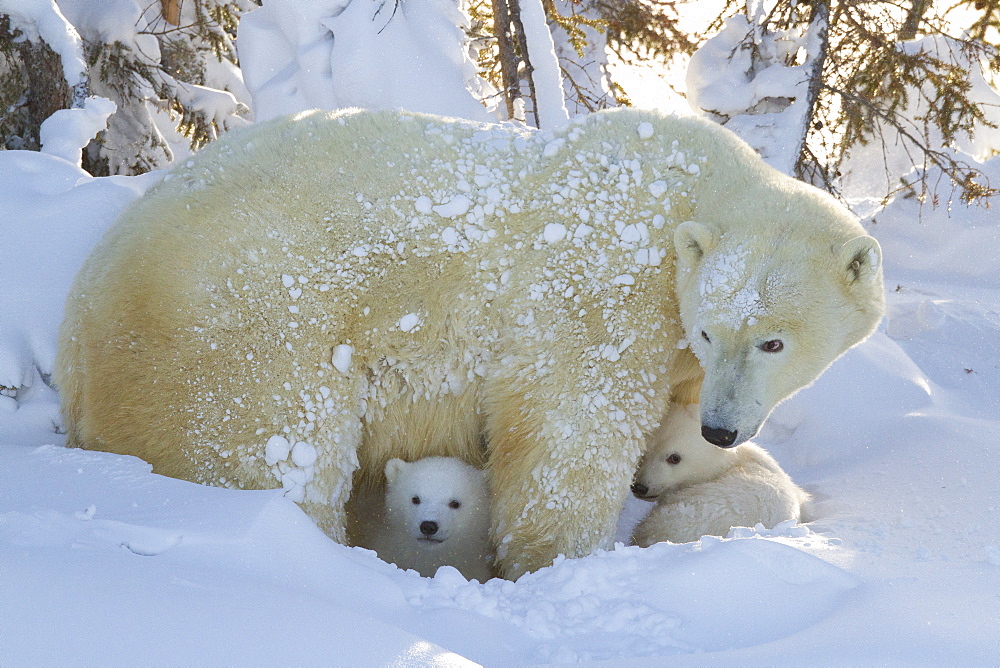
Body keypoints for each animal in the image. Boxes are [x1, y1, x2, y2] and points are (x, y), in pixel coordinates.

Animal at [56, 107, 884, 576]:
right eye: (716, 330)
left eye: (772, 343)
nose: (722, 426)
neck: (686, 189)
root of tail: (81, 309)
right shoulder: (600, 290)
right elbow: (566, 434)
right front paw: (558, 565)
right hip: (240, 338)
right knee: (272, 453)